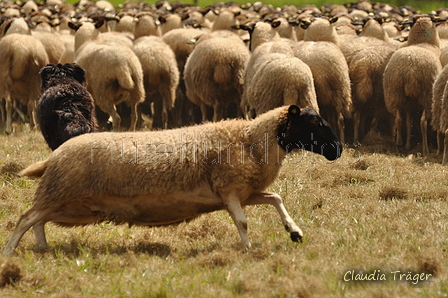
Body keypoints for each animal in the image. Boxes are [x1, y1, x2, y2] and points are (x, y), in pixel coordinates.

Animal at [2, 105, 344, 256]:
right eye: (314, 122)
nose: (338, 150)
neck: (251, 140)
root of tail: (53, 156)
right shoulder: (229, 190)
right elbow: (243, 221)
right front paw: (247, 248)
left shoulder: (243, 192)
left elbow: (275, 198)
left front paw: (295, 232)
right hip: (60, 192)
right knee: (25, 218)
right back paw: (9, 253)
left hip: (69, 204)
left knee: (38, 220)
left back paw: (43, 247)